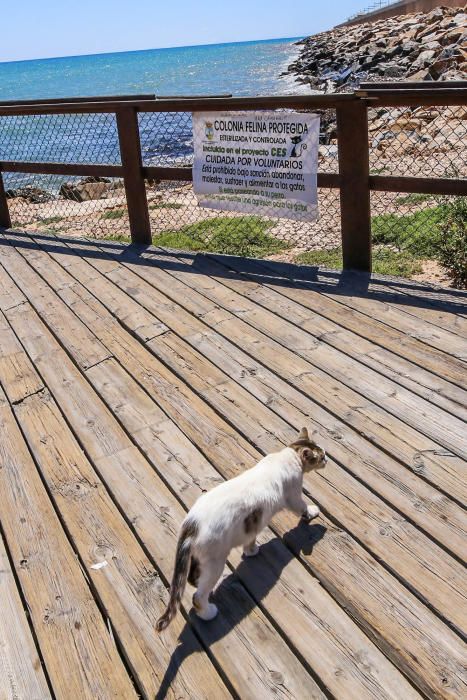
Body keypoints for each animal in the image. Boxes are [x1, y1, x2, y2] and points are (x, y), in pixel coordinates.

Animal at [155, 424, 328, 632]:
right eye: (321, 456)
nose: (327, 460)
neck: (289, 454)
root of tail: (191, 524)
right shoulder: (293, 496)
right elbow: (302, 507)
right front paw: (312, 511)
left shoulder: (253, 524)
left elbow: (251, 538)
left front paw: (251, 551)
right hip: (215, 562)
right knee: (198, 596)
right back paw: (208, 613)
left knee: (191, 577)